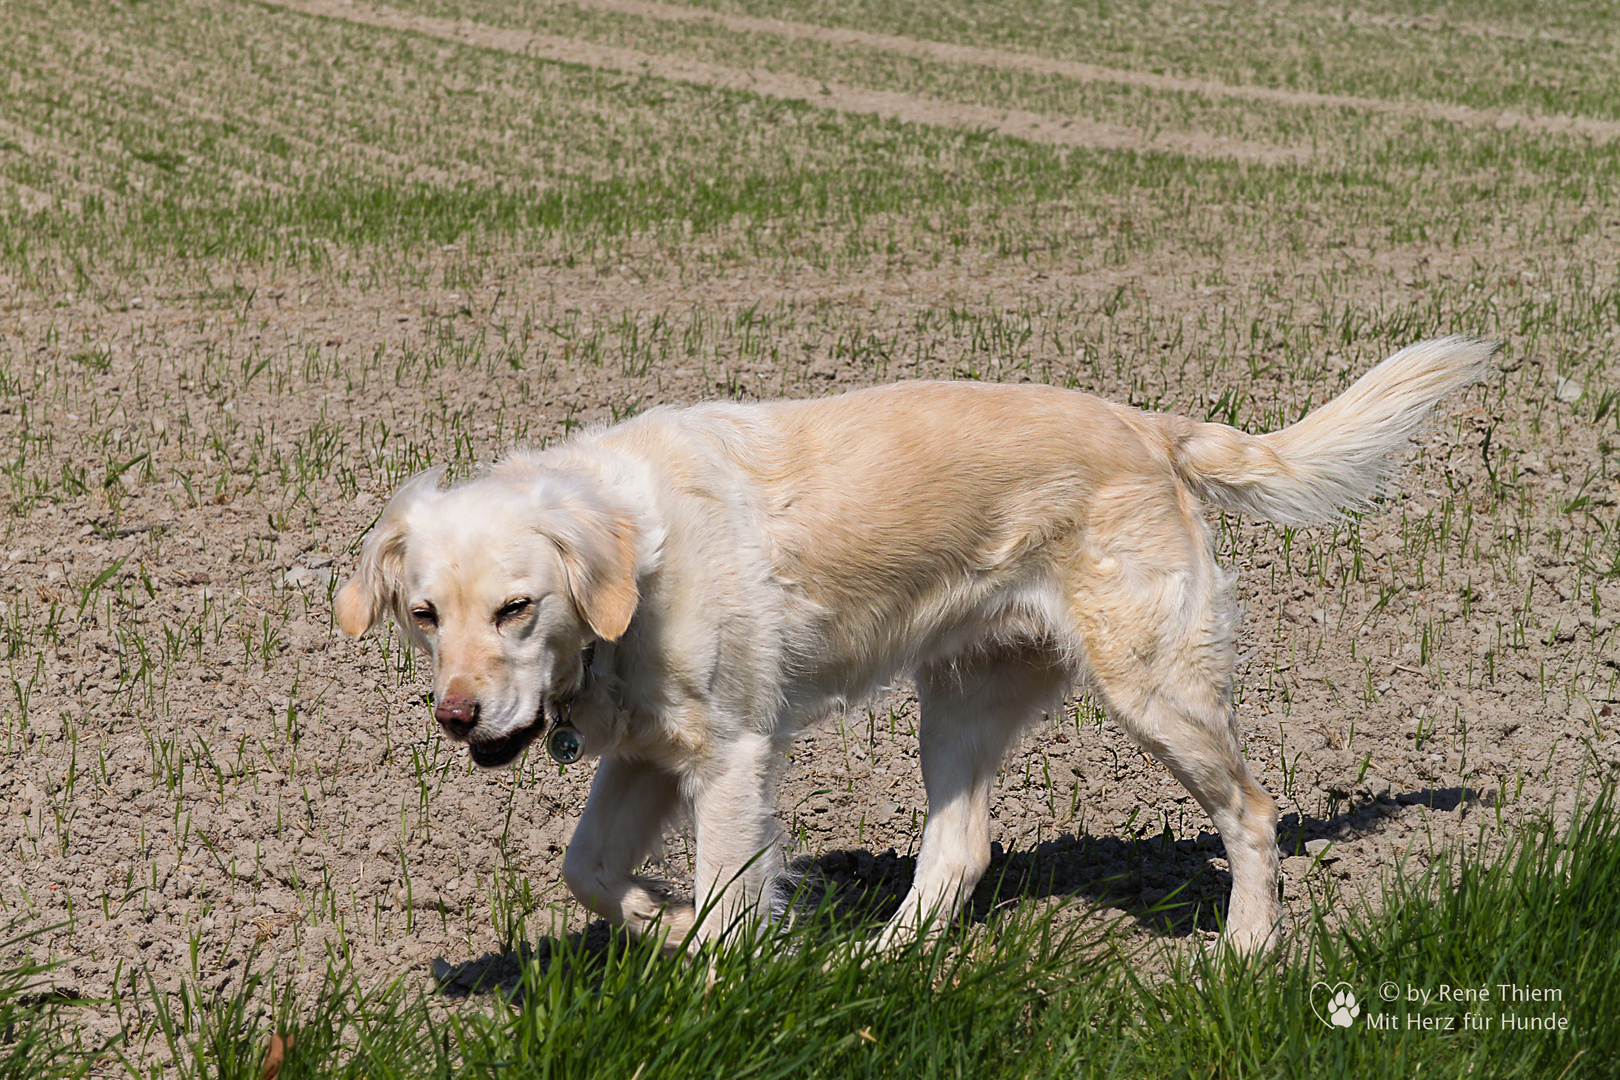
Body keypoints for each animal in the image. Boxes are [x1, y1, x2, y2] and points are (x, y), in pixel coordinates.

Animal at [338, 338, 1490, 952]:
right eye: (424, 615)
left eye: (517, 607)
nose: (457, 718)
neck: (638, 560)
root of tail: (1149, 426)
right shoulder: (647, 755)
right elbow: (587, 869)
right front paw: (667, 922)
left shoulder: (730, 758)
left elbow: (724, 894)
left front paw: (714, 951)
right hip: (961, 701)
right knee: (960, 846)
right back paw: (884, 958)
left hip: (1156, 689)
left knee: (1251, 810)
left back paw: (1249, 949)